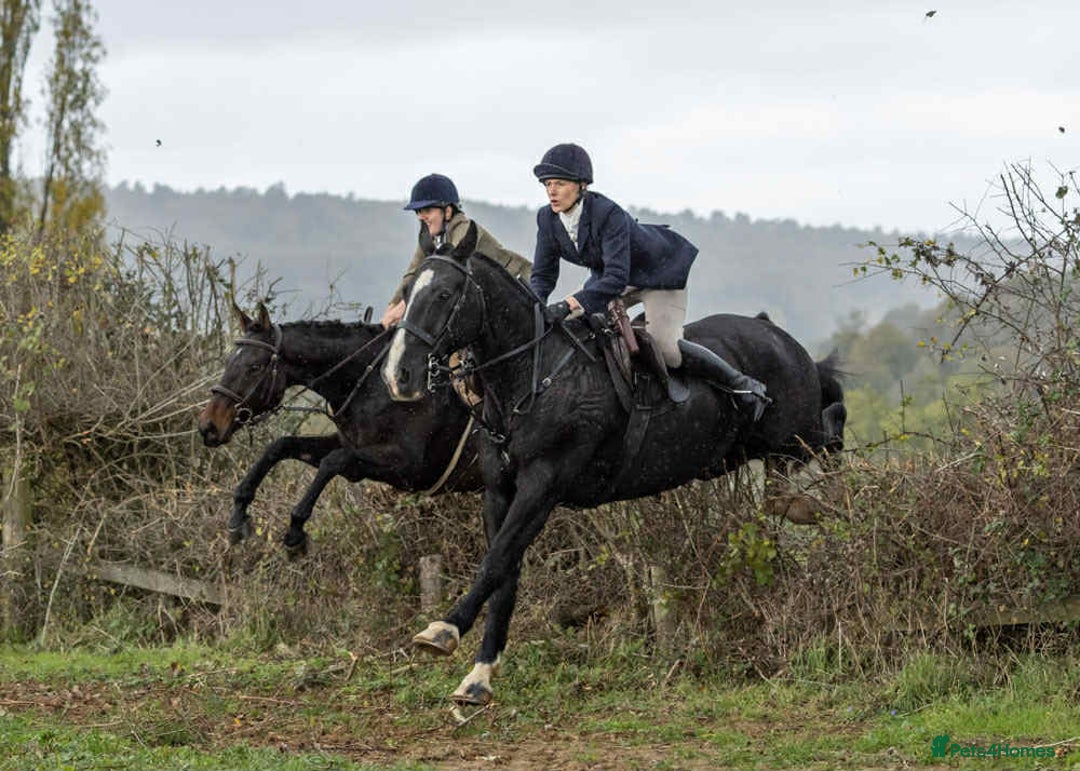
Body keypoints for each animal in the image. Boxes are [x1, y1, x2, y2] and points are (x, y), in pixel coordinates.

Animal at [197, 302, 483, 553]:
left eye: (254, 367)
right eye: (228, 362)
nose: (208, 427)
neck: (373, 385)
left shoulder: (410, 466)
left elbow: (332, 462)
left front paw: (295, 531)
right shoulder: (349, 445)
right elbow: (281, 446)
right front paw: (239, 513)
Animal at [382, 223, 845, 705]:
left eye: (444, 294)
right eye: (408, 291)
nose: (398, 376)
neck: (532, 374)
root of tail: (783, 339)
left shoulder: (543, 483)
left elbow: (495, 562)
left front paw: (443, 630)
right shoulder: (499, 490)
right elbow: (505, 571)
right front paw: (479, 675)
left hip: (797, 438)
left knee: (832, 427)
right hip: (762, 455)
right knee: (785, 495)